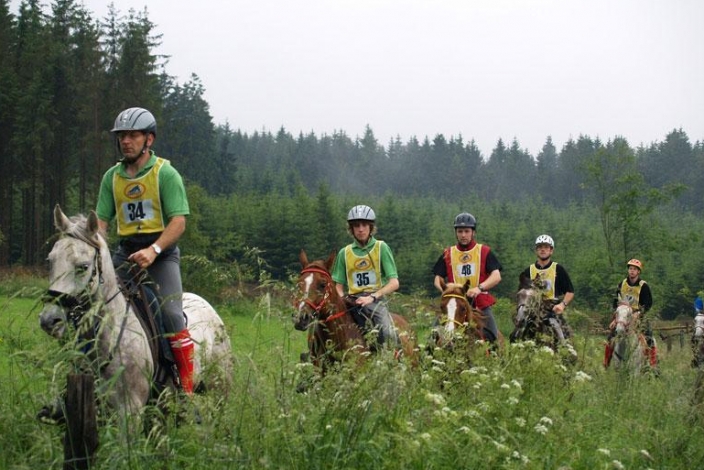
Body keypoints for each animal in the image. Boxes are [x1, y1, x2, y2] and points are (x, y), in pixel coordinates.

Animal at [39, 206, 234, 426]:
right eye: (50, 261)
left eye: (83, 267)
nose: (49, 320)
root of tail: (208, 307)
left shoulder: (129, 412)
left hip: (219, 391)